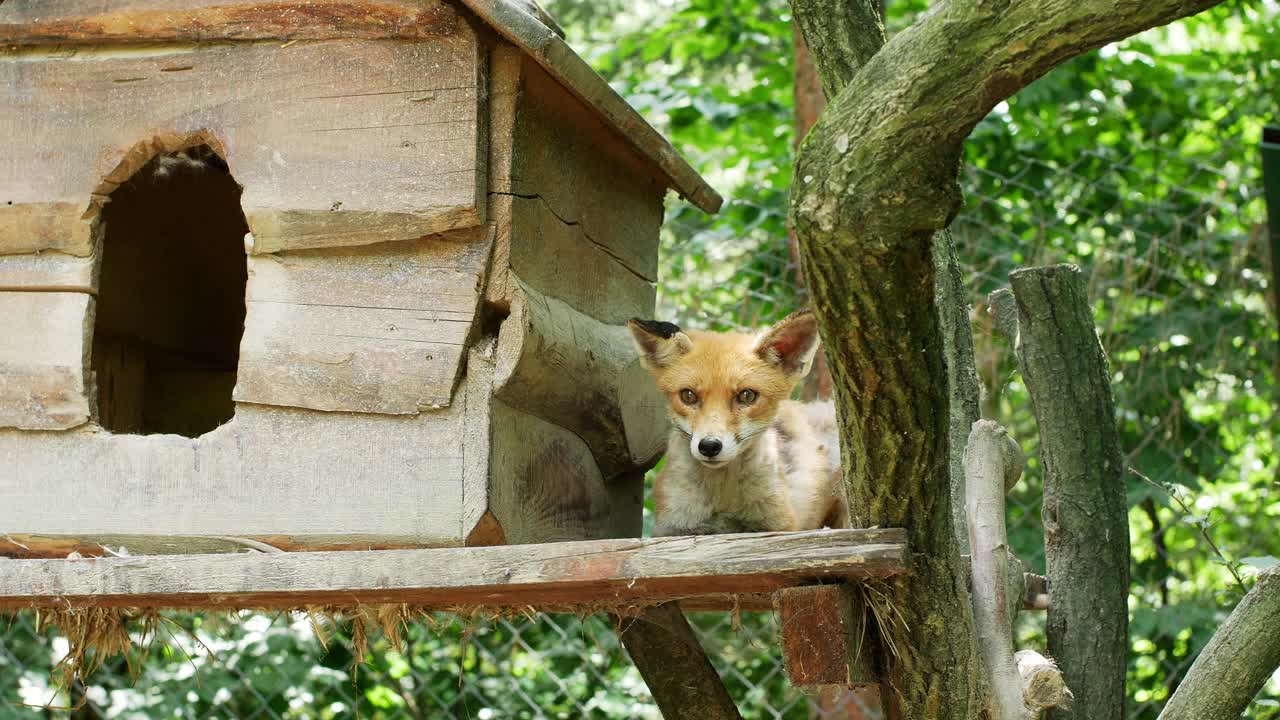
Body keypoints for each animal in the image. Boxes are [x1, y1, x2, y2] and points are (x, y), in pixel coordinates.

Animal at [629, 308, 849, 532]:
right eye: (688, 395)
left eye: (747, 395)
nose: (709, 446)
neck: (723, 498)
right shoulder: (674, 526)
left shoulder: (776, 525)